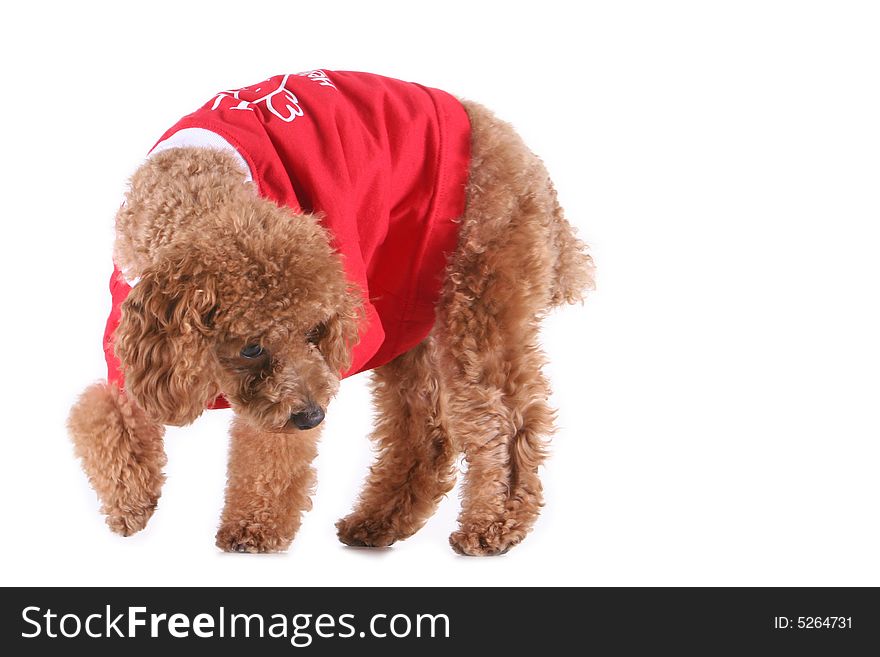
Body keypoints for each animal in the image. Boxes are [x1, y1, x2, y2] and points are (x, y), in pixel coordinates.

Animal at [65, 91, 596, 552]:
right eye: (252, 346)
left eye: (314, 332)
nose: (312, 417)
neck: (193, 185)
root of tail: (520, 151)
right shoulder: (134, 346)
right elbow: (100, 416)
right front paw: (130, 501)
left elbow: (270, 456)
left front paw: (252, 530)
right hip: (408, 314)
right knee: (425, 433)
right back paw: (379, 523)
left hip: (479, 298)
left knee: (506, 417)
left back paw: (495, 524)